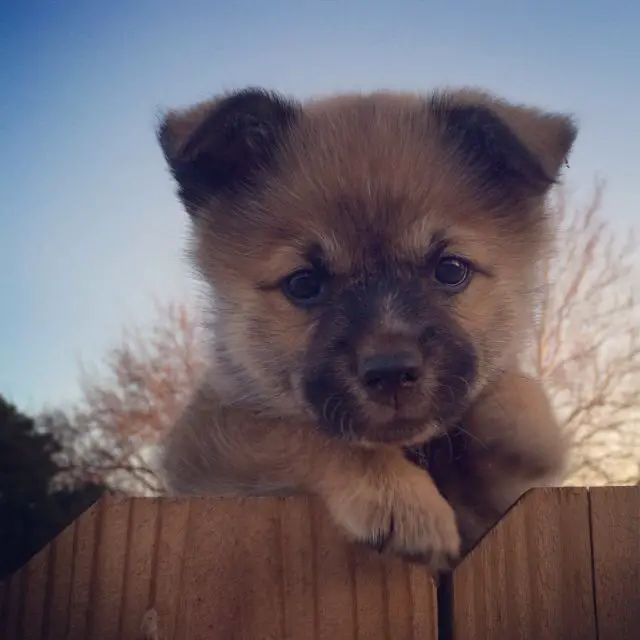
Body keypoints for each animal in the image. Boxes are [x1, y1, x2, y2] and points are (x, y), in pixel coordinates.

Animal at [155, 87, 576, 572]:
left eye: (451, 270)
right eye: (303, 283)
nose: (391, 372)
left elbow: (520, 399)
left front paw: (522, 429)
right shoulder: (205, 443)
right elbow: (300, 432)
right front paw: (401, 497)